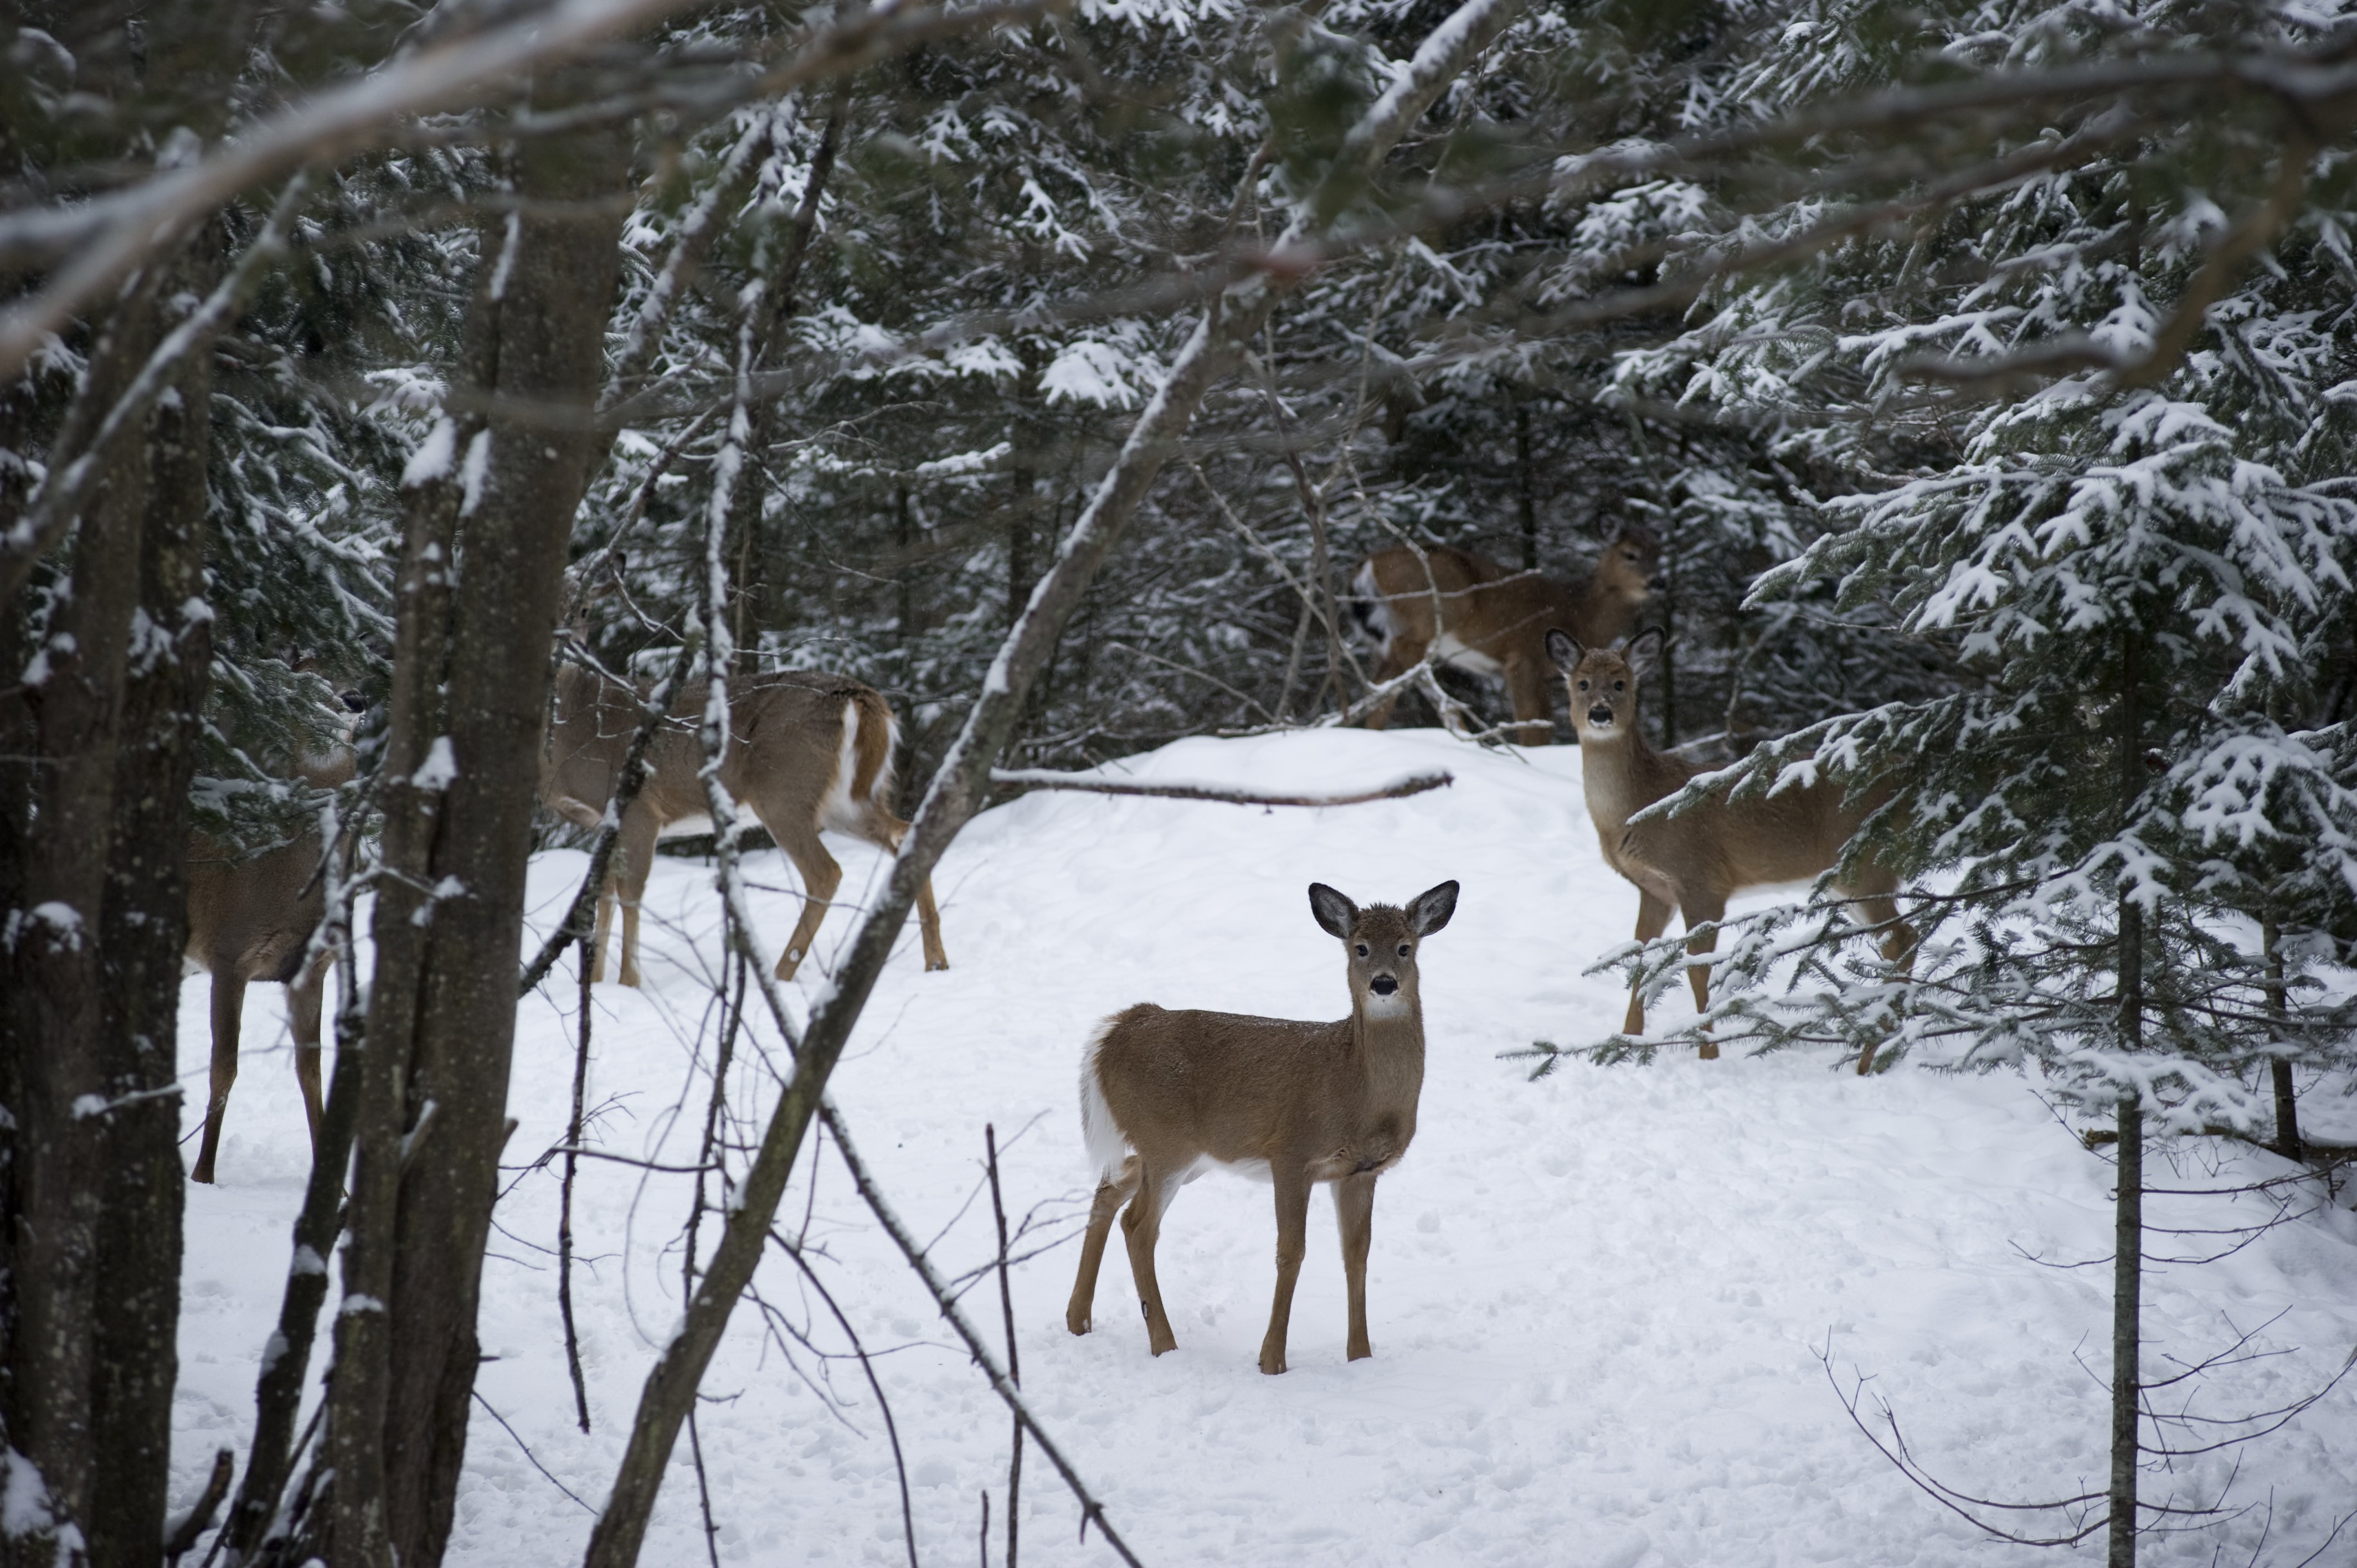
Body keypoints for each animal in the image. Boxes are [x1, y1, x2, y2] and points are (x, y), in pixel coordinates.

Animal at [183, 745, 353, 1174]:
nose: (353, 704)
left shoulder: (312, 968)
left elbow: (311, 1072)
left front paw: (335, 1183)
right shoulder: (229, 954)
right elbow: (223, 1069)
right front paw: (203, 1174)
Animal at [542, 655, 947, 981]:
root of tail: (863, 700)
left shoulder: (638, 809)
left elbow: (630, 893)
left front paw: (629, 983)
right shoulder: (603, 823)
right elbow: (605, 892)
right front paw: (596, 984)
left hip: (783, 791)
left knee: (825, 872)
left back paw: (780, 972)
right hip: (847, 802)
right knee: (904, 834)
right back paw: (936, 961)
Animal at [1065, 872, 1452, 1377]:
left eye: (1406, 947)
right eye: (1361, 947)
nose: (1384, 984)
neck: (1357, 1089)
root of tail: (1118, 1029)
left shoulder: (1360, 1171)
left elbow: (1357, 1255)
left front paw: (1361, 1357)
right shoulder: (1290, 1153)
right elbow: (1292, 1251)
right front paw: (1272, 1361)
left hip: (1183, 1152)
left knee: (1108, 1190)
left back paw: (1079, 1319)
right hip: (1167, 1142)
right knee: (1139, 1225)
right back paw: (1164, 1344)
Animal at [1357, 523, 1669, 745]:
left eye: (1658, 554)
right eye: (1630, 554)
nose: (1659, 582)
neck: (1579, 613)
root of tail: (1367, 565)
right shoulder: (1524, 659)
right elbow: (1535, 725)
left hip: (1383, 637)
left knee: (1381, 684)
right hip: (1429, 615)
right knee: (1407, 662)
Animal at [1546, 632, 1913, 1070]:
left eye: (1620, 683)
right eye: (1583, 683)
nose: (1600, 713)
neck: (1641, 806)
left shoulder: (1701, 879)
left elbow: (1697, 972)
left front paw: (1708, 1052)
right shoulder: (1654, 889)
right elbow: (1639, 962)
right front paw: (1624, 1042)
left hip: (1869, 859)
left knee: (1901, 938)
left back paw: (1872, 1056)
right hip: (1848, 876)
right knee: (1900, 938)